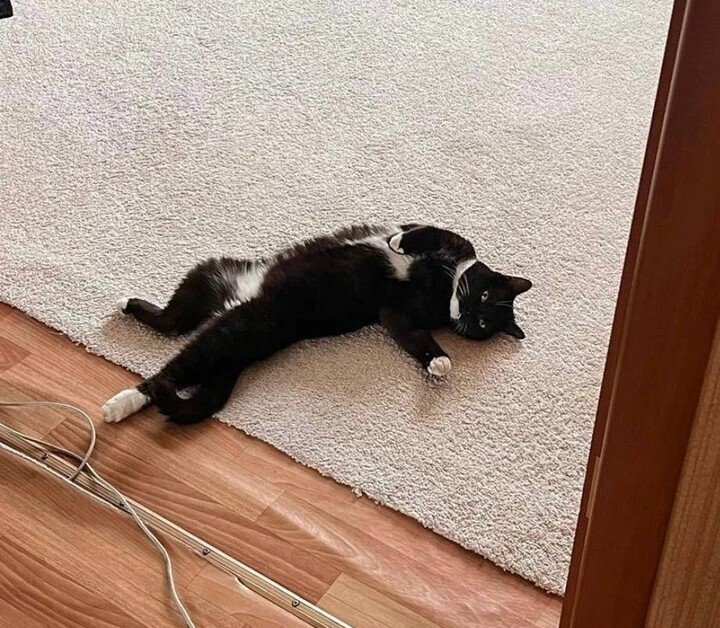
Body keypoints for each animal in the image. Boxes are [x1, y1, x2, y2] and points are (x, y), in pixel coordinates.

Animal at [102, 224, 531, 425]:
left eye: (481, 324)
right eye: (485, 297)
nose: (468, 313)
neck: (442, 291)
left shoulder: (397, 315)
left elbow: (414, 338)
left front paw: (439, 362)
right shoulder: (437, 237)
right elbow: (435, 232)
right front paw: (398, 243)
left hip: (223, 336)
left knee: (170, 363)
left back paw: (120, 403)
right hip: (208, 273)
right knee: (172, 322)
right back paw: (126, 306)